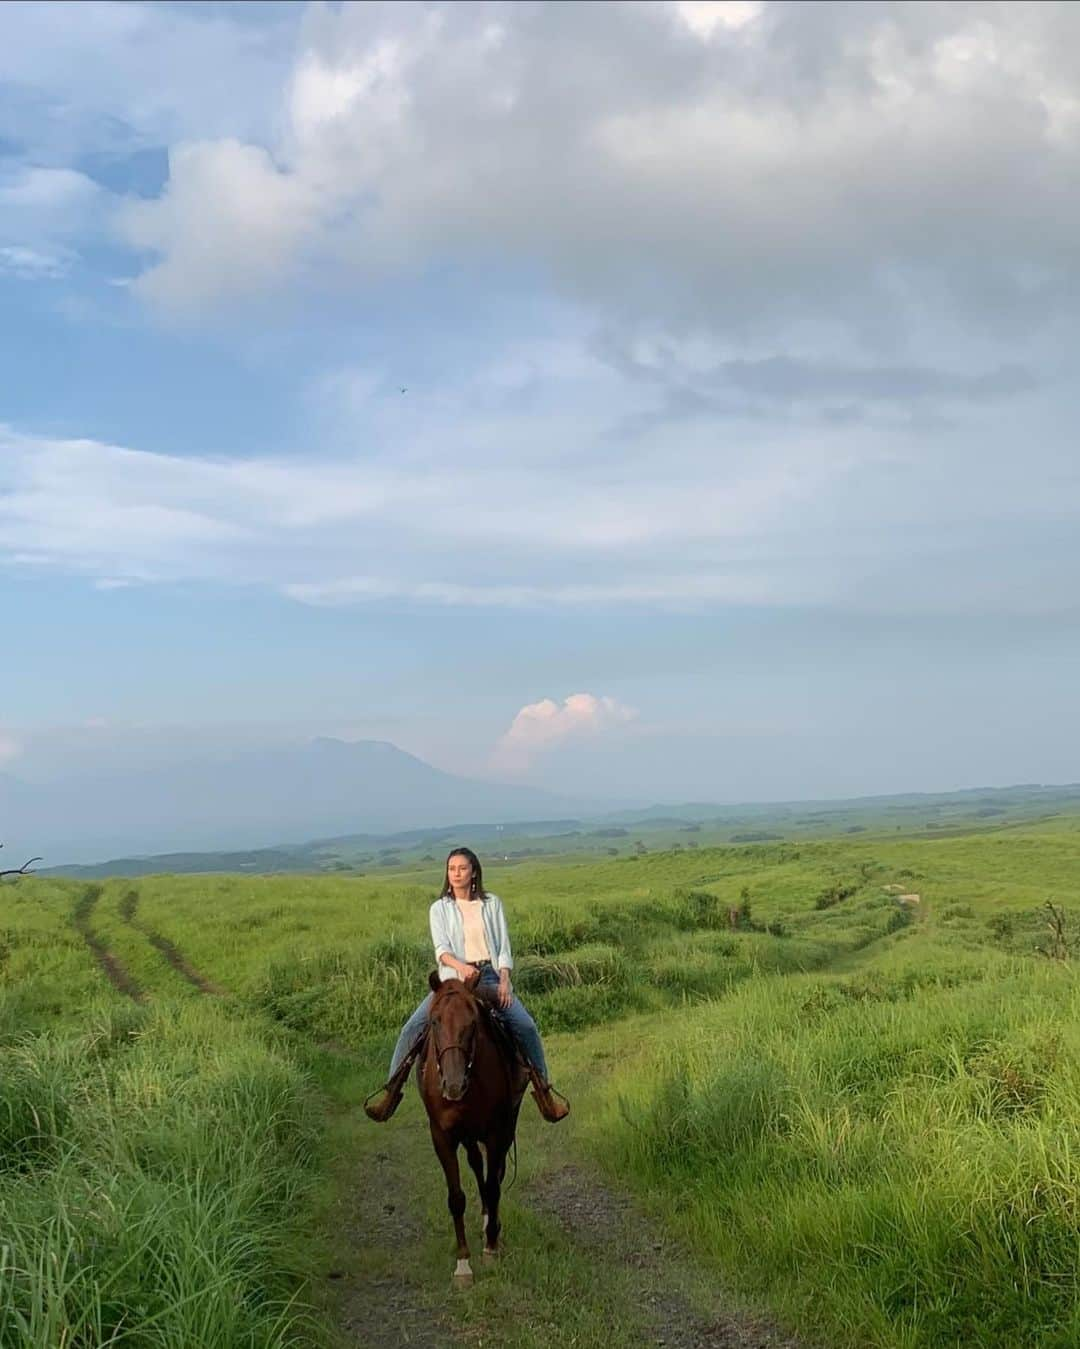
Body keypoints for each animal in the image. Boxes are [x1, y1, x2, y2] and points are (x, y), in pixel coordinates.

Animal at [415, 971, 528, 1284]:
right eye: (435, 1021)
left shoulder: (496, 1132)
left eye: (473, 1023)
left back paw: (493, 1224)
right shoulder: (442, 1136)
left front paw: (491, 1247)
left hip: (505, 1126)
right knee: (477, 1165)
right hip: (467, 1136)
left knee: (495, 1174)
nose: (453, 1086)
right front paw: (463, 1263)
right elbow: (456, 1197)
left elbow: (493, 1185)